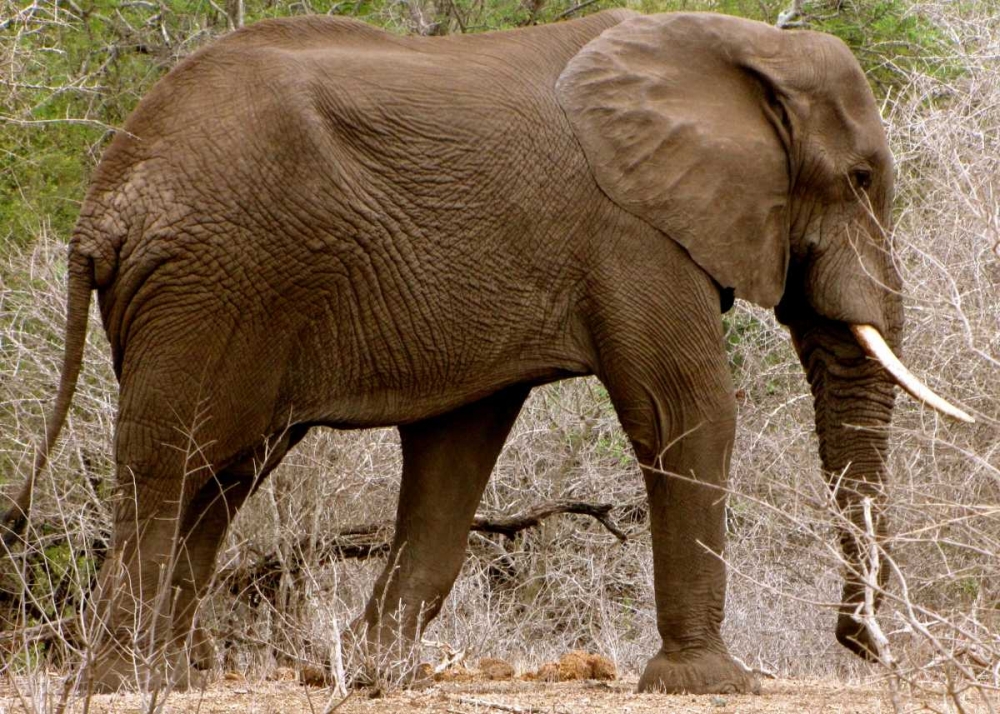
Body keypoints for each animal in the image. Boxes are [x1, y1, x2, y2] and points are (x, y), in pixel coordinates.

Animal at [1, 8, 972, 695]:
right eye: (859, 179)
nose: (863, 643)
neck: (734, 43)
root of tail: (103, 203)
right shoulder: (631, 231)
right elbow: (687, 411)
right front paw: (713, 684)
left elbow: (456, 453)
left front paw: (371, 676)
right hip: (211, 282)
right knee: (168, 466)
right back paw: (118, 682)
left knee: (224, 470)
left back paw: (169, 677)